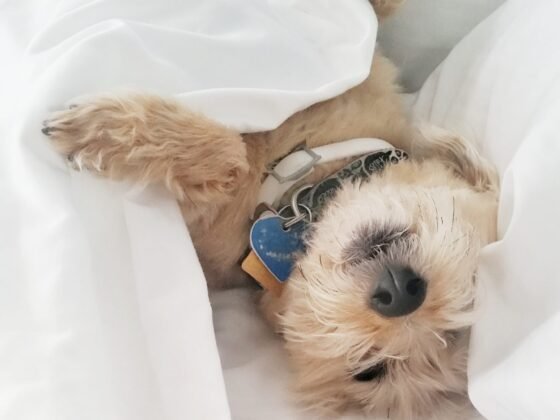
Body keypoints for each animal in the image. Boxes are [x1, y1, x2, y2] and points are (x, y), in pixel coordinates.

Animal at [42, 1, 498, 418]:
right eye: (473, 276)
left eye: (368, 368)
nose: (401, 294)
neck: (299, 186)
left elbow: (230, 156)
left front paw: (99, 130)